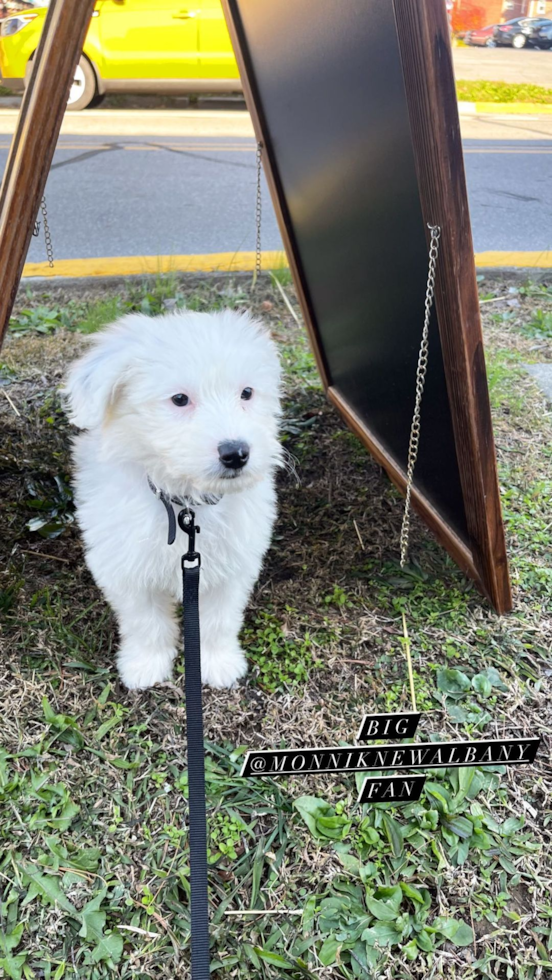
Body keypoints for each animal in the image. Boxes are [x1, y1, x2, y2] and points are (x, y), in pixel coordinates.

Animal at [63, 312, 280, 688]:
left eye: (247, 393)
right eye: (180, 399)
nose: (236, 453)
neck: (186, 503)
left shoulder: (233, 567)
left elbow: (219, 619)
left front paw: (218, 663)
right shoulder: (125, 567)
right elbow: (144, 620)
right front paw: (146, 665)